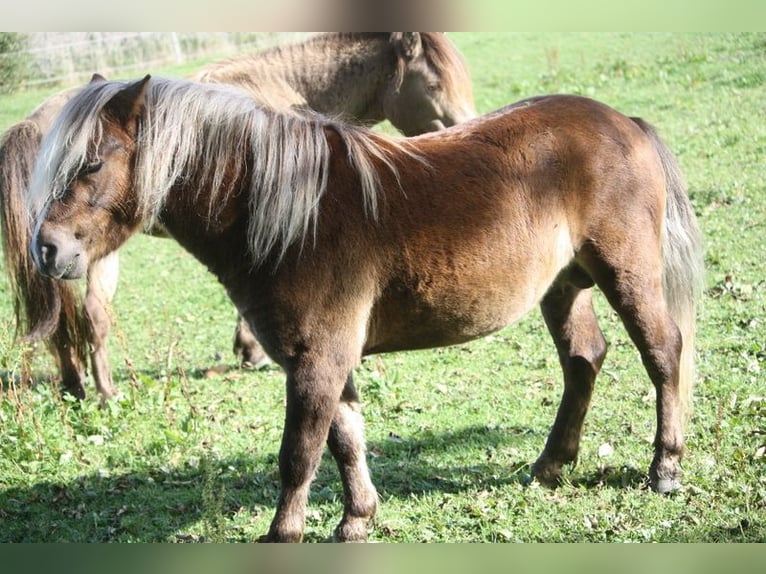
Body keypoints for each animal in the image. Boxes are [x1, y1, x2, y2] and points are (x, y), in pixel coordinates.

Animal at [0, 31, 476, 400]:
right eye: (435, 82)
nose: (467, 127)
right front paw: (251, 350)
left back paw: (77, 383)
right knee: (94, 314)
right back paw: (105, 391)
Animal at [28, 76, 704, 544]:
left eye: (92, 162)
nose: (47, 248)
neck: (289, 214)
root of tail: (623, 121)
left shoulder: (316, 360)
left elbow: (299, 455)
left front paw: (284, 535)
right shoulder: (325, 359)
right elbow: (346, 440)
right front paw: (357, 520)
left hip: (626, 274)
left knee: (663, 353)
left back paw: (665, 468)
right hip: (564, 286)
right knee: (584, 360)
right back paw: (550, 465)